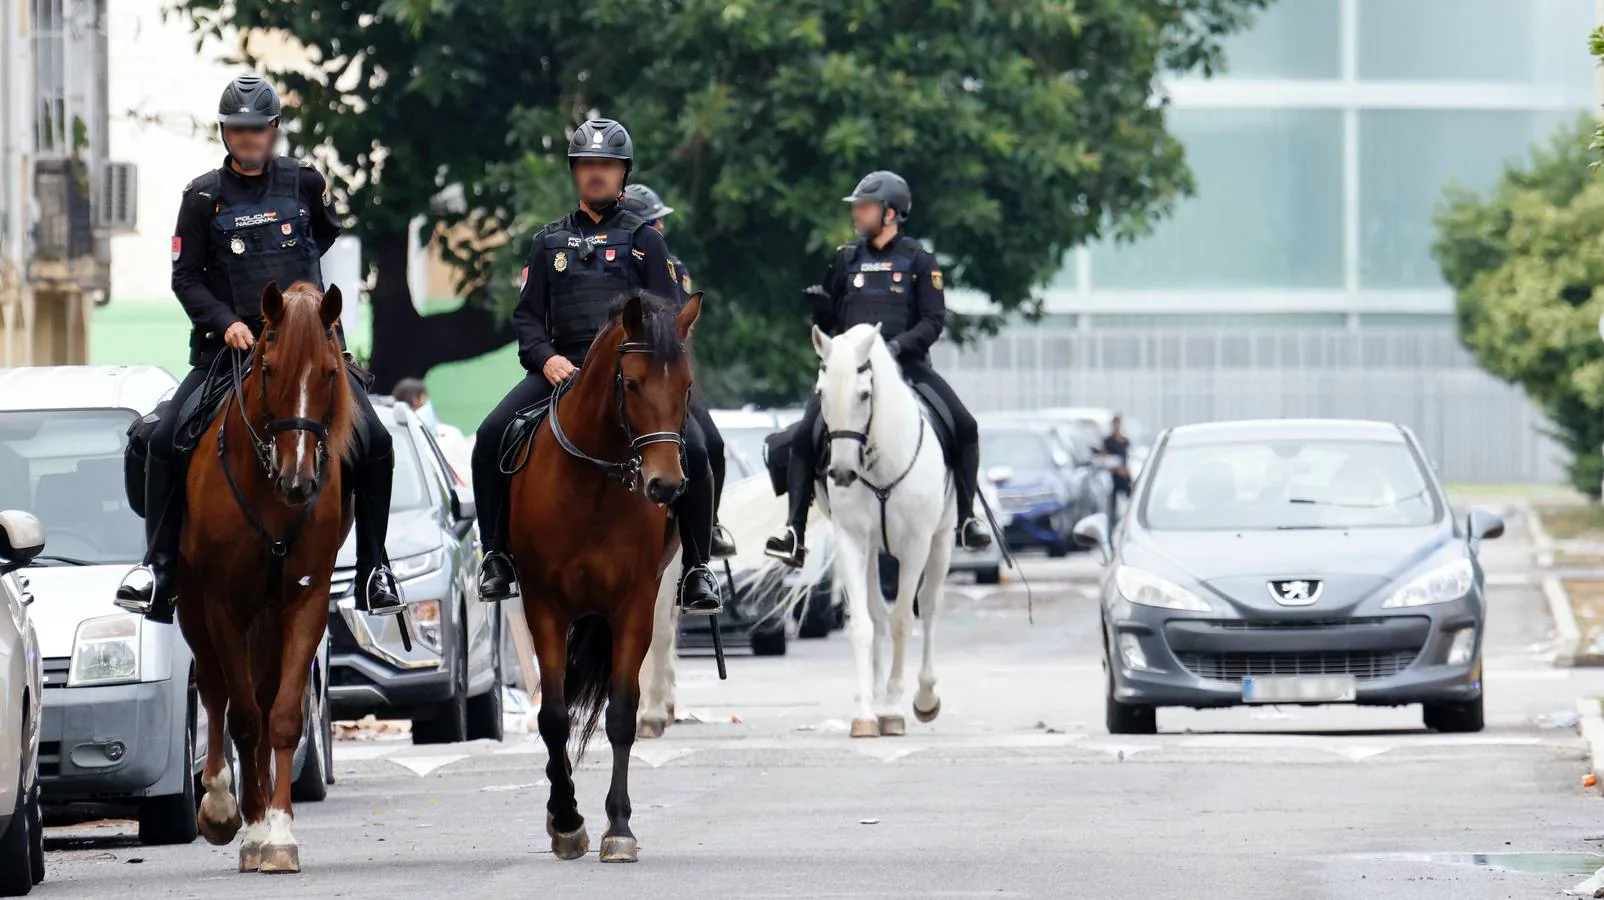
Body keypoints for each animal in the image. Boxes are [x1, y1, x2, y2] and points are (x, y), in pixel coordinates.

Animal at [177, 280, 356, 872]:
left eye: (329, 372)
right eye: (269, 369)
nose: (298, 482)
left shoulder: (305, 602)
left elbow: (279, 718)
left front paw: (277, 833)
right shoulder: (222, 604)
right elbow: (243, 717)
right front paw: (249, 825)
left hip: (268, 619)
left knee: (260, 694)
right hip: (193, 608)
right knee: (215, 691)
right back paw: (220, 804)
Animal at [506, 288, 696, 866]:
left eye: (686, 387)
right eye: (631, 384)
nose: (664, 486)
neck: (593, 483)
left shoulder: (633, 605)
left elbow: (621, 715)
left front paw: (619, 827)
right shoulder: (544, 605)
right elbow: (552, 715)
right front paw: (567, 820)